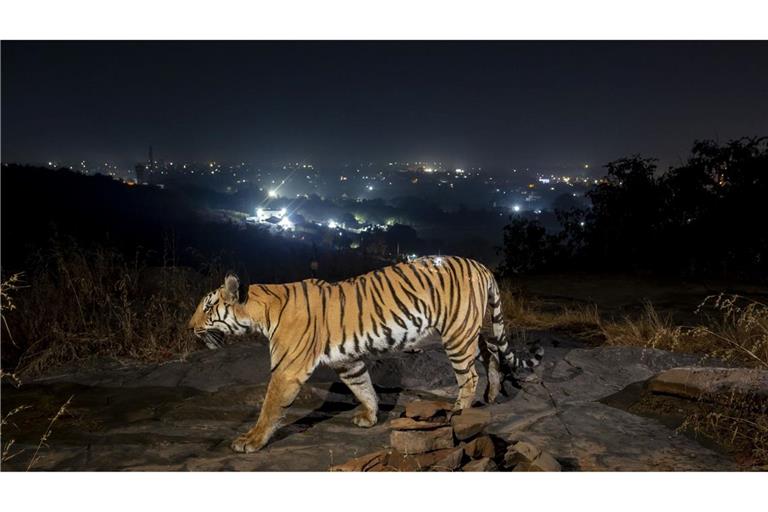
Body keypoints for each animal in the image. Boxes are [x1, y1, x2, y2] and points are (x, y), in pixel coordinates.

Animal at [189, 255, 544, 452]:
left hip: (457, 333)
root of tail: (481, 265)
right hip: (469, 329)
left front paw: (249, 440)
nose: (190, 327)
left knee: (468, 374)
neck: (261, 311)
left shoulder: (287, 369)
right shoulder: (347, 362)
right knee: (491, 350)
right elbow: (364, 388)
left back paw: (459, 410)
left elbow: (269, 408)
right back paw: (493, 392)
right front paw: (370, 418)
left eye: (207, 308)